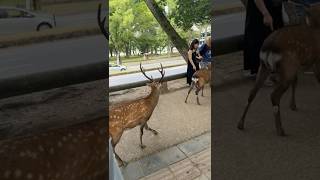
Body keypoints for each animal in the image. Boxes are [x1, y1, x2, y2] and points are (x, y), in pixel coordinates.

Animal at [236, 4, 320, 136]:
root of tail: (268, 48)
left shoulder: (298, 66)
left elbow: (296, 81)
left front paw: (293, 105)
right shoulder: (316, 61)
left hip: (265, 66)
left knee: (252, 92)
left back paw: (240, 124)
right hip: (287, 65)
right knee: (274, 95)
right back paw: (281, 130)